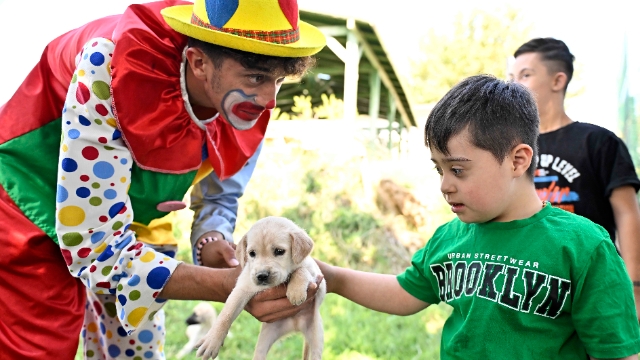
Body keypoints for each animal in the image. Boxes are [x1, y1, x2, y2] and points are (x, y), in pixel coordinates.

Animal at [195, 215, 324, 358]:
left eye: (279, 251)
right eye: (252, 253)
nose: (261, 276)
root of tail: (295, 326)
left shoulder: (317, 275)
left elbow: (300, 270)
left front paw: (296, 292)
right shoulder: (241, 289)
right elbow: (226, 315)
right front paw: (212, 341)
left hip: (316, 337)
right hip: (265, 338)